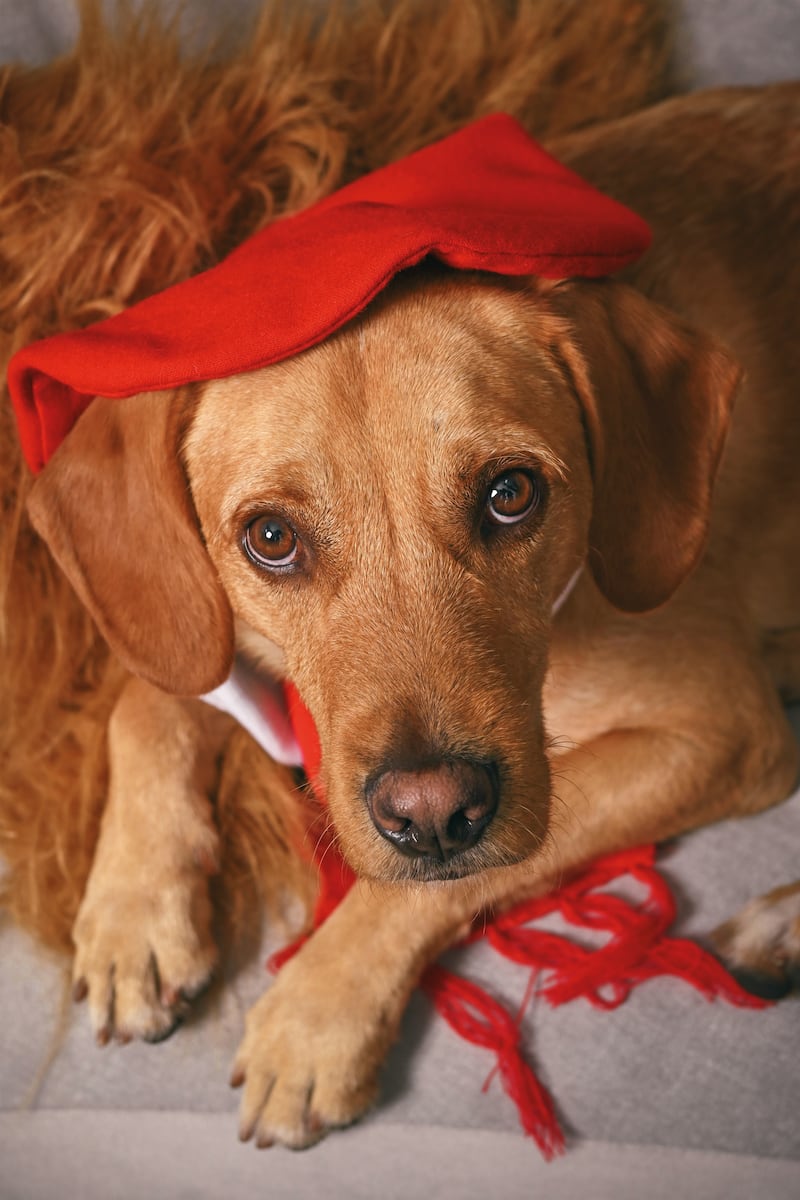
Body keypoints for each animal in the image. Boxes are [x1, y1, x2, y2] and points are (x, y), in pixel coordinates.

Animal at [17, 77, 800, 1152]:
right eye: (270, 538)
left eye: (512, 493)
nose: (433, 813)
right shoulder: (203, 629)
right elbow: (149, 698)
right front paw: (136, 910)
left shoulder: (719, 728)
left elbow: (434, 882)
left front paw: (318, 1015)